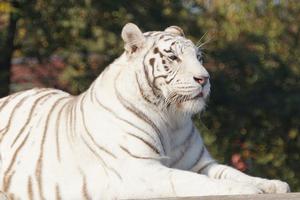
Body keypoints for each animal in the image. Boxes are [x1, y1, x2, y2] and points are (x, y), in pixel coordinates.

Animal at [0, 23, 290, 198]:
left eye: (199, 58)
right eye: (173, 57)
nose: (204, 79)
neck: (170, 118)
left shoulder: (201, 164)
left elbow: (235, 172)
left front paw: (272, 184)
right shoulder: (142, 170)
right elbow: (201, 183)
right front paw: (245, 190)